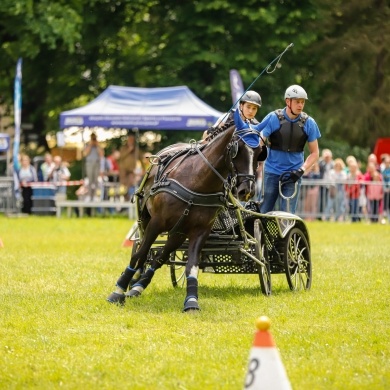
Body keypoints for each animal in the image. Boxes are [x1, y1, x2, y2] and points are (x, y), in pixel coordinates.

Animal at [105, 120, 266, 312]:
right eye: (237, 149)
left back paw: (138, 286)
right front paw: (118, 290)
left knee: (161, 256)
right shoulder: (157, 222)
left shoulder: (200, 230)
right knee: (142, 251)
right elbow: (140, 254)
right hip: (146, 220)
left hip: (179, 232)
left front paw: (191, 301)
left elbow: (191, 265)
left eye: (260, 152)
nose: (247, 190)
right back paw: (133, 281)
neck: (198, 181)